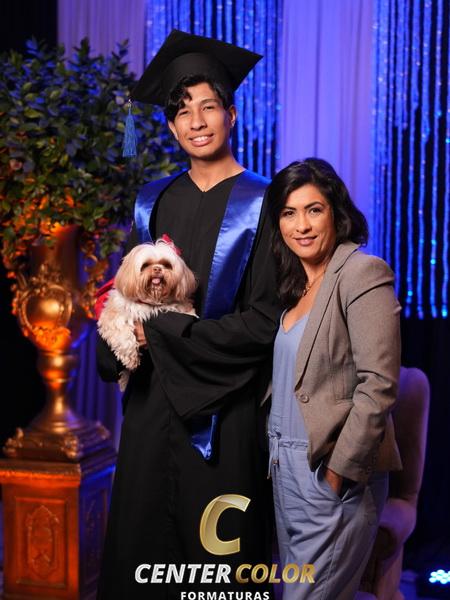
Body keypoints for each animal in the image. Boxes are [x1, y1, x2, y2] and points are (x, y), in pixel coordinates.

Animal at [98, 237, 197, 390]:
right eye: (145, 265)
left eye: (166, 264)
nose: (157, 268)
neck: (151, 301)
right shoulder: (114, 317)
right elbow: (123, 336)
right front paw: (131, 359)